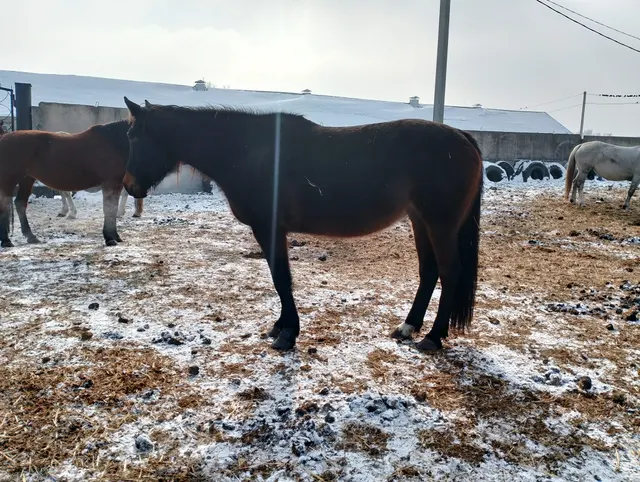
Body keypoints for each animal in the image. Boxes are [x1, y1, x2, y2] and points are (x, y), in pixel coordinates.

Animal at [0, 119, 138, 248]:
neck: (114, 142)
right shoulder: (111, 183)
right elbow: (109, 209)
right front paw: (110, 238)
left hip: (27, 179)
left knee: (20, 203)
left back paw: (31, 236)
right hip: (8, 180)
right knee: (5, 205)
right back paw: (6, 240)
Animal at [122, 98, 484, 353]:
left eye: (134, 137)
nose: (128, 185)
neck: (247, 152)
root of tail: (462, 138)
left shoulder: (269, 228)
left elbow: (282, 278)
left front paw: (288, 334)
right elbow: (278, 278)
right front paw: (281, 325)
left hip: (440, 224)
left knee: (449, 272)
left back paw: (433, 338)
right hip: (420, 221)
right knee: (429, 272)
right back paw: (408, 328)